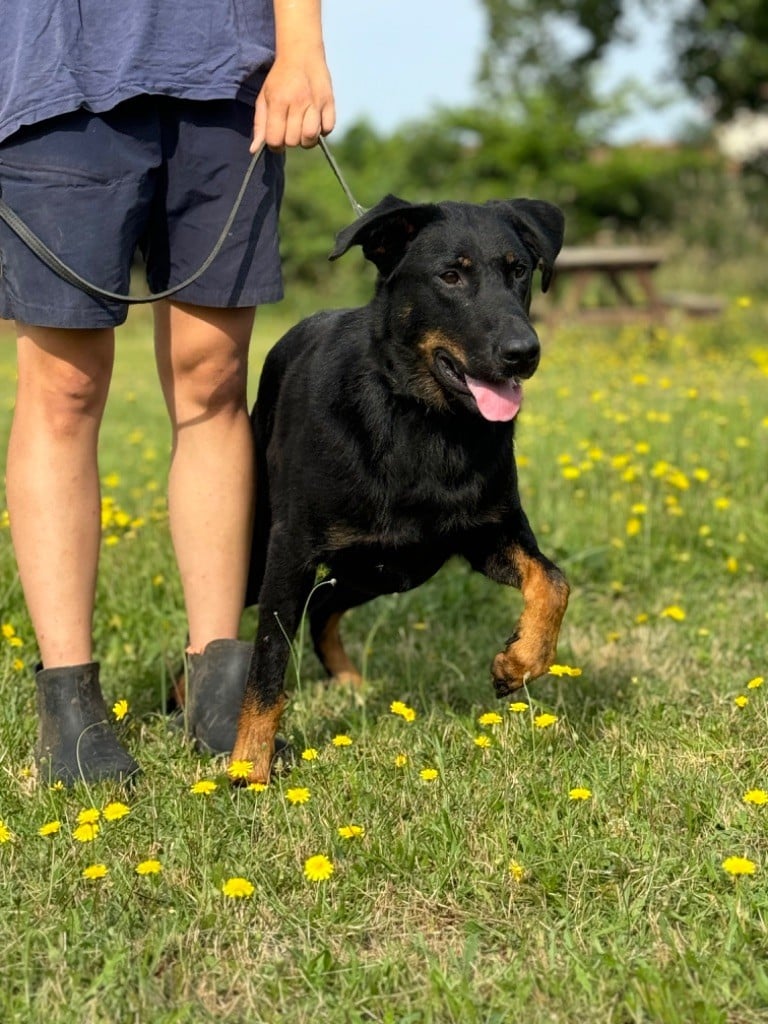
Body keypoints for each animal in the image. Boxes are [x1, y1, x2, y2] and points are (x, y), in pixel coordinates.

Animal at [233, 193, 573, 782]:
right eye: (450, 275)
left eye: (520, 270)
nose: (524, 352)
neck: (423, 419)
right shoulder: (291, 553)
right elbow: (269, 659)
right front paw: (248, 768)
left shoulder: (489, 534)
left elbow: (553, 581)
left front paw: (519, 661)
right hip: (270, 552)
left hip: (378, 571)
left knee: (324, 609)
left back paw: (350, 684)